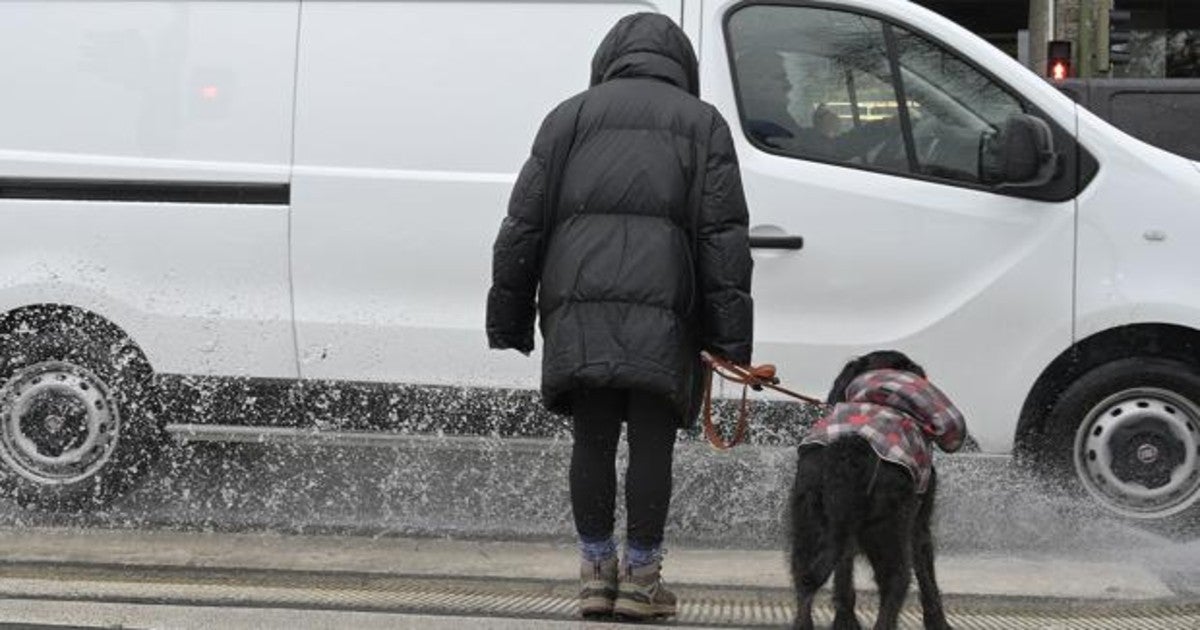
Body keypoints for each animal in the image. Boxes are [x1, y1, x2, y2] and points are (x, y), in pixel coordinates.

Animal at [787, 348, 964, 628]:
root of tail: (851, 449)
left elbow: (843, 577)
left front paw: (845, 621)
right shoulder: (919, 526)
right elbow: (928, 578)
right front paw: (938, 623)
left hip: (808, 525)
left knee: (804, 585)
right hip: (889, 531)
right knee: (895, 586)